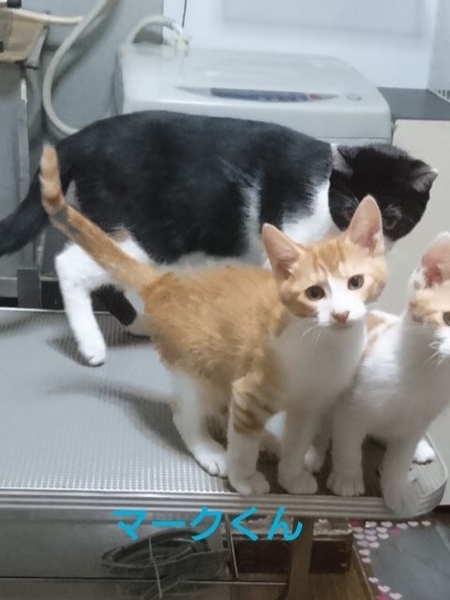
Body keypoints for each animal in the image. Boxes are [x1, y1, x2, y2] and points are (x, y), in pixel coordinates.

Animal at [0, 111, 436, 366]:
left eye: (392, 217)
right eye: (347, 207)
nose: (364, 234)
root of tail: (82, 137)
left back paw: (138, 324)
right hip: (147, 235)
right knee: (71, 264)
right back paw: (92, 343)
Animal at [39, 144, 388, 496]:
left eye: (356, 282)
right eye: (314, 293)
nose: (340, 314)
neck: (323, 348)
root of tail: (163, 281)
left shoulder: (309, 406)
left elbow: (297, 442)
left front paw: (292, 477)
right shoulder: (249, 392)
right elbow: (242, 445)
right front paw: (244, 479)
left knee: (225, 410)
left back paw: (269, 441)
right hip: (192, 368)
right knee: (186, 414)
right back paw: (210, 450)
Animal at [327, 233, 450, 515]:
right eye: (448, 318)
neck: (425, 373)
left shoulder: (418, 422)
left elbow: (400, 458)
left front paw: (397, 487)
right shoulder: (350, 409)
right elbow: (347, 445)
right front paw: (347, 478)